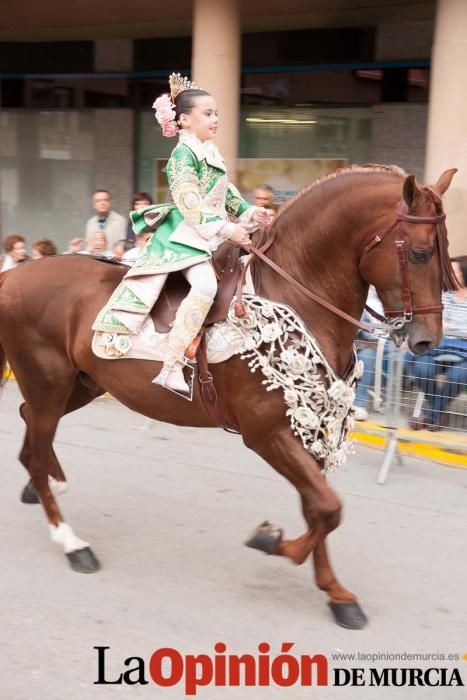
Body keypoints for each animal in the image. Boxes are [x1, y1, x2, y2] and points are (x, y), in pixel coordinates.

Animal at [0, 165, 460, 628]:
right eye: (420, 253)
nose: (427, 341)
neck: (293, 298)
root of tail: (13, 274)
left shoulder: (309, 426)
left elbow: (318, 507)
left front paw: (336, 593)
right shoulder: (268, 433)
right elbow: (328, 507)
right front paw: (272, 541)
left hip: (81, 384)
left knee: (28, 425)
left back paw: (46, 486)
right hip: (49, 384)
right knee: (36, 444)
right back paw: (72, 542)